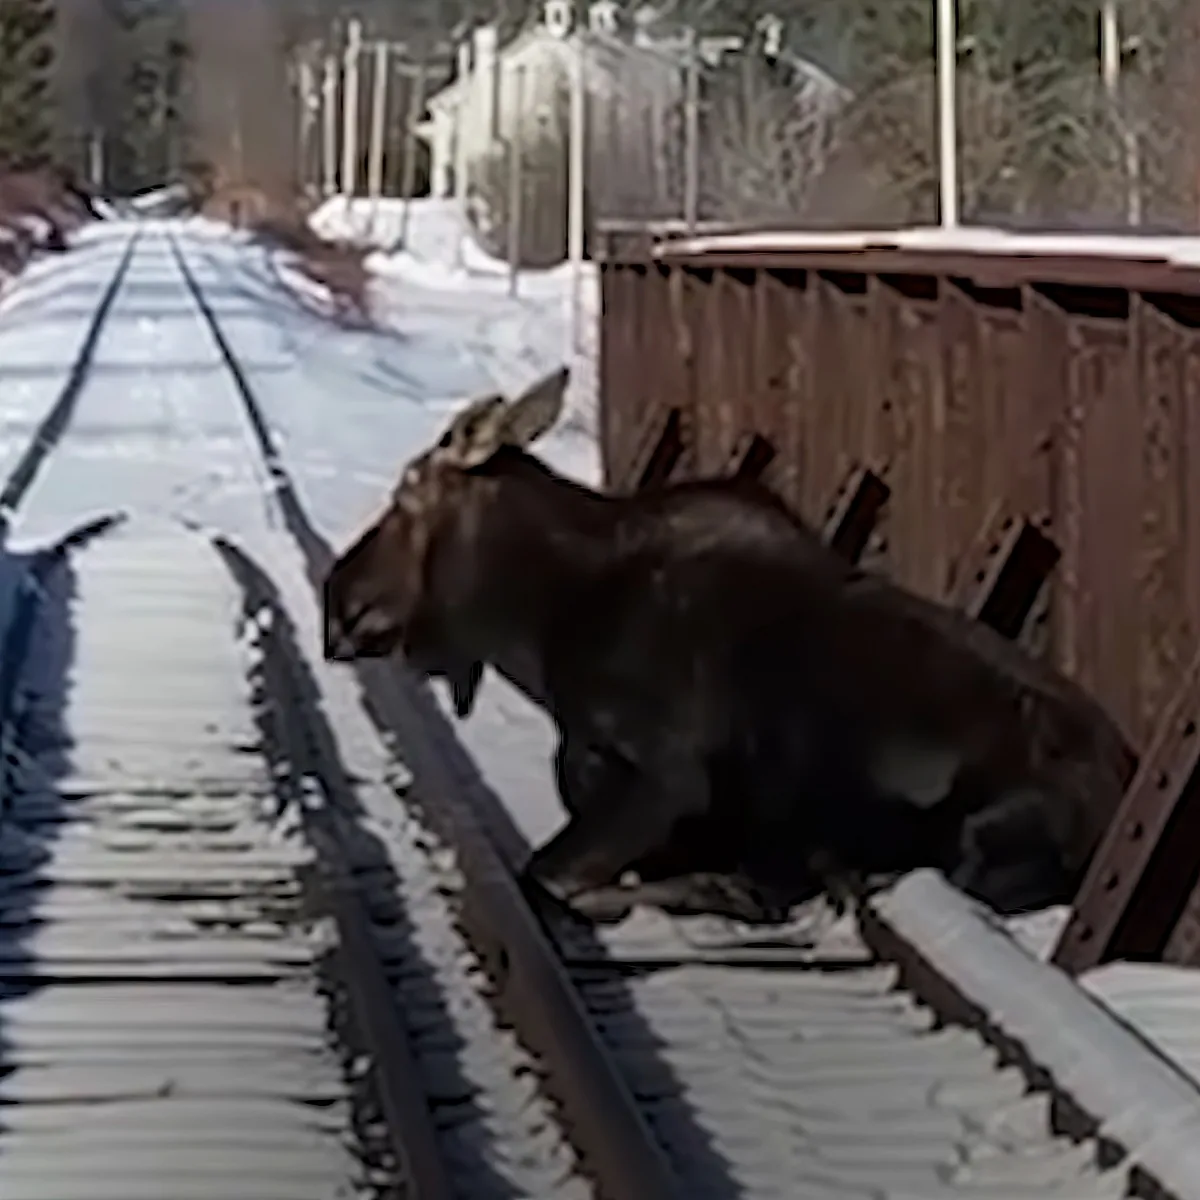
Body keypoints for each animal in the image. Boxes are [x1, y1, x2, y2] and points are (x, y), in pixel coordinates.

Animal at [323, 366, 1136, 925]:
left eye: (405, 496)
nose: (337, 602)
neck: (537, 625)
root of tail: (1119, 782)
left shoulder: (666, 775)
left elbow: (548, 877)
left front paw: (727, 886)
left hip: (974, 834)